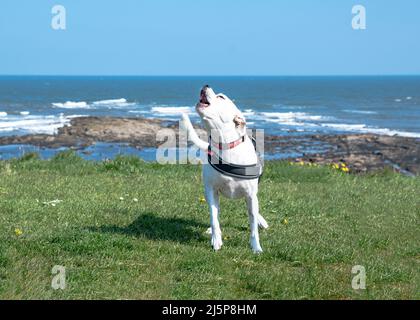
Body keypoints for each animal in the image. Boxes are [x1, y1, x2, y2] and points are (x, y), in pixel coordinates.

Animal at [181, 85, 268, 252]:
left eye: (221, 97)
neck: (225, 146)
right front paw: (216, 240)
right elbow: (214, 218)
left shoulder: (250, 195)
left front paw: (256, 247)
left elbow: (253, 225)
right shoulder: (211, 191)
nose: (206, 85)